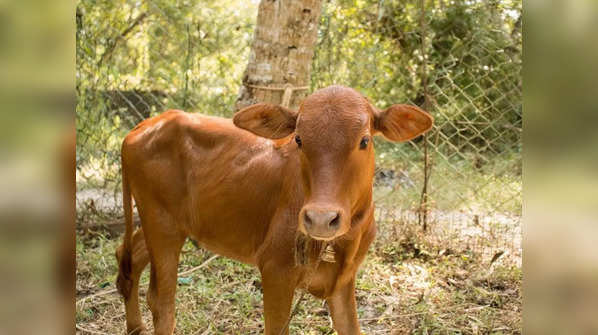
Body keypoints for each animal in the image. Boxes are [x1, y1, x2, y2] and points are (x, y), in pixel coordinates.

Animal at [115, 86, 434, 335]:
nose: (320, 219)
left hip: (165, 224)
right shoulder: (276, 270)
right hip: (162, 224)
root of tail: (144, 126)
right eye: (299, 139)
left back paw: (135, 326)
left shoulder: (344, 280)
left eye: (364, 140)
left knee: (129, 259)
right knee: (161, 301)